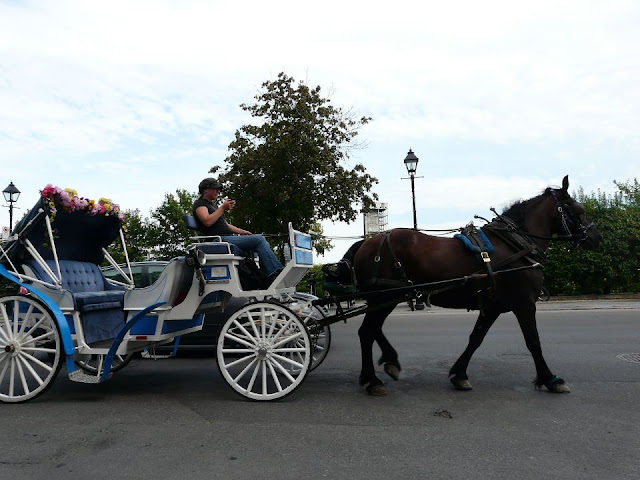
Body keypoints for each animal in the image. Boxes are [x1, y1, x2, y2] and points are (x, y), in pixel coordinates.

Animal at [348, 175, 604, 394]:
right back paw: (372, 379)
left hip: (386, 298)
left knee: (373, 330)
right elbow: (533, 342)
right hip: (384, 296)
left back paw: (389, 361)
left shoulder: (492, 306)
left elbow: (476, 339)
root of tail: (367, 242)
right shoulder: (524, 304)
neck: (516, 244)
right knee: (367, 332)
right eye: (579, 211)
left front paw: (459, 374)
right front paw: (550, 378)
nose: (598, 238)